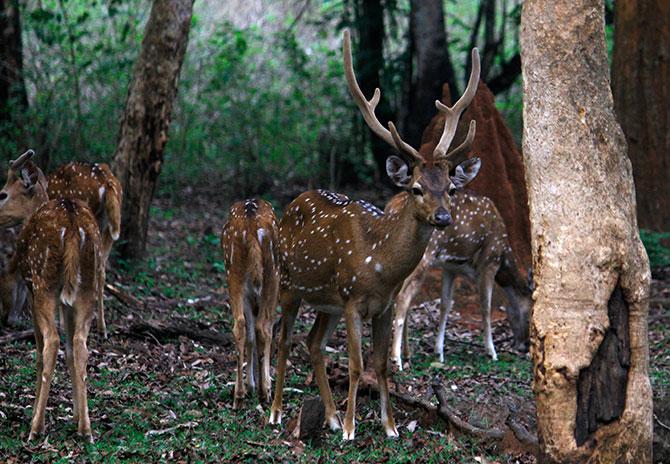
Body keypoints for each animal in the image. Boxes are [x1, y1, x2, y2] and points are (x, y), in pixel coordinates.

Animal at [0, 150, 102, 442]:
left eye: (3, 193)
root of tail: (72, 227)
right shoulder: (66, 301)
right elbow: (70, 351)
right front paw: (76, 415)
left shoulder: (32, 289)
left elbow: (38, 351)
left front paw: (35, 413)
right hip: (87, 286)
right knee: (80, 344)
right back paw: (86, 429)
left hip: (44, 282)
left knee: (52, 342)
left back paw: (36, 427)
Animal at [222, 198, 280, 408]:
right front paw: (261, 384)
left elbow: (250, 335)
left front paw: (251, 385)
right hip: (273, 275)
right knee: (264, 327)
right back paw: (265, 392)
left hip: (233, 274)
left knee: (240, 325)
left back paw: (238, 395)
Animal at [270, 30, 486, 440]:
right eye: (416, 188)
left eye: (450, 187)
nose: (443, 217)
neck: (381, 266)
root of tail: (292, 204)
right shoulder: (353, 299)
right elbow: (356, 365)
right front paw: (351, 429)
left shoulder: (382, 306)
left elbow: (382, 364)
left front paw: (390, 427)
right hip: (289, 283)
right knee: (285, 339)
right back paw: (275, 412)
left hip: (326, 301)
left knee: (313, 343)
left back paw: (329, 415)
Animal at [392, 190, 532, 368]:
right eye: (531, 314)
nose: (525, 346)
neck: (503, 255)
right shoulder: (489, 262)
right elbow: (486, 306)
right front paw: (492, 352)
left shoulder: (450, 268)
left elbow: (445, 305)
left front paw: (439, 352)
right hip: (423, 256)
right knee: (402, 296)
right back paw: (397, 359)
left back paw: (406, 354)